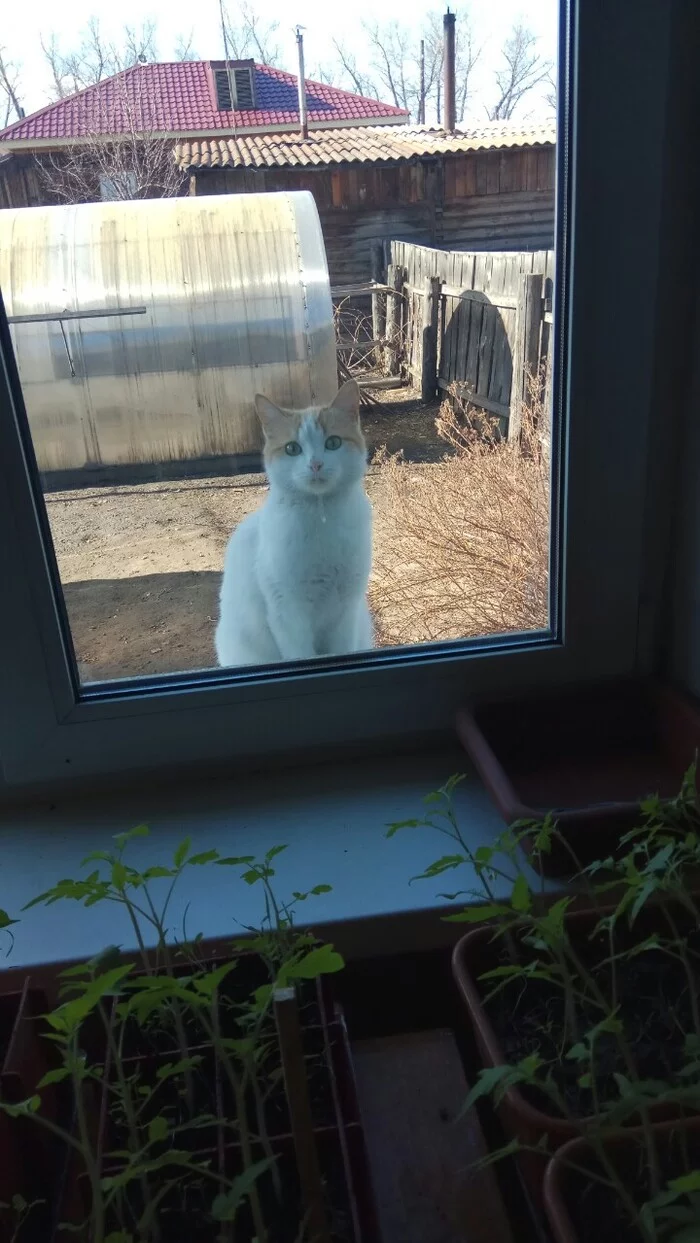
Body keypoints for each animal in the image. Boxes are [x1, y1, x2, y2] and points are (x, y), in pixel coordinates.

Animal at [216, 380, 375, 666]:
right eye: (292, 449)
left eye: (333, 443)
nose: (315, 464)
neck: (322, 518)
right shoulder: (288, 613)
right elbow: (301, 653)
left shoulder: (347, 610)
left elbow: (342, 651)